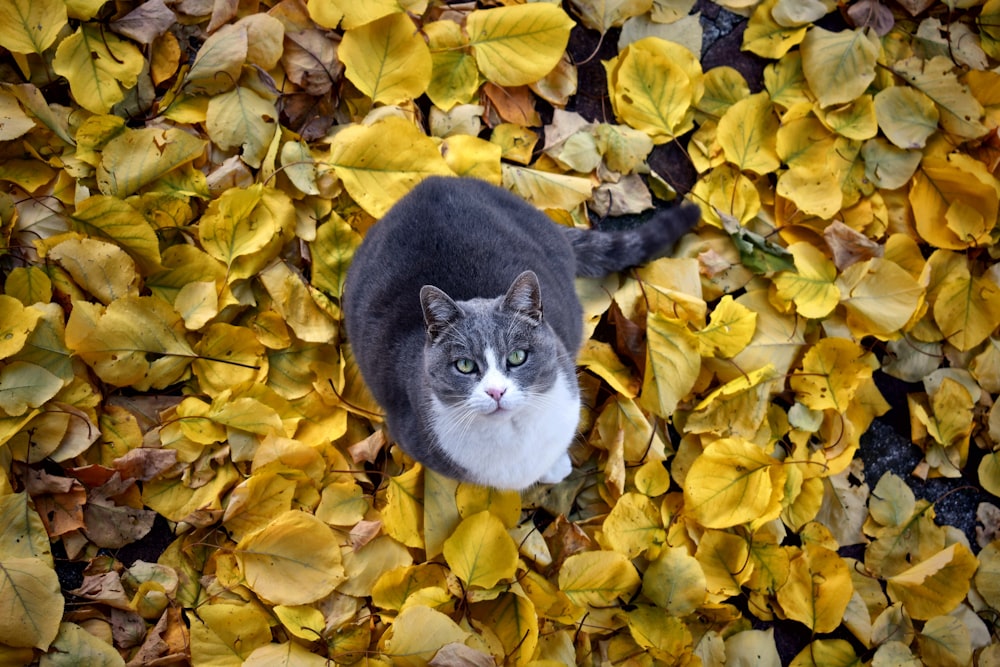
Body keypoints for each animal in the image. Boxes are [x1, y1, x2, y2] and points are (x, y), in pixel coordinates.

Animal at [342, 177, 696, 490]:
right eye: (464, 365)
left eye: (516, 357)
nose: (496, 392)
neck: (510, 435)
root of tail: (431, 185)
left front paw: (555, 466)